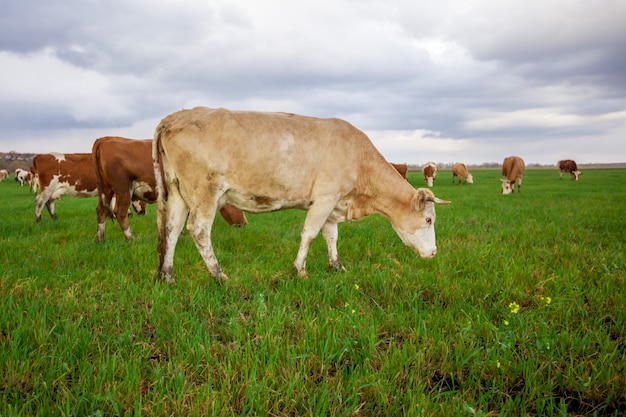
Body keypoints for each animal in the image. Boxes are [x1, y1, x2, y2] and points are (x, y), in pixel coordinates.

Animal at [93, 135, 249, 242]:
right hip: (122, 189)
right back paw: (131, 238)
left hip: (106, 190)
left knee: (101, 211)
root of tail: (105, 141)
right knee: (120, 212)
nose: (244, 224)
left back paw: (100, 239)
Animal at [154, 107, 450, 282]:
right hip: (205, 191)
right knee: (199, 230)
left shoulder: (333, 203)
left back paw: (167, 275)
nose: (434, 252)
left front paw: (336, 266)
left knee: (172, 229)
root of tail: (176, 116)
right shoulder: (325, 199)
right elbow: (309, 234)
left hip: (178, 191)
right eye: (428, 220)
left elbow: (331, 236)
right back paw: (219, 275)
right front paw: (300, 270)